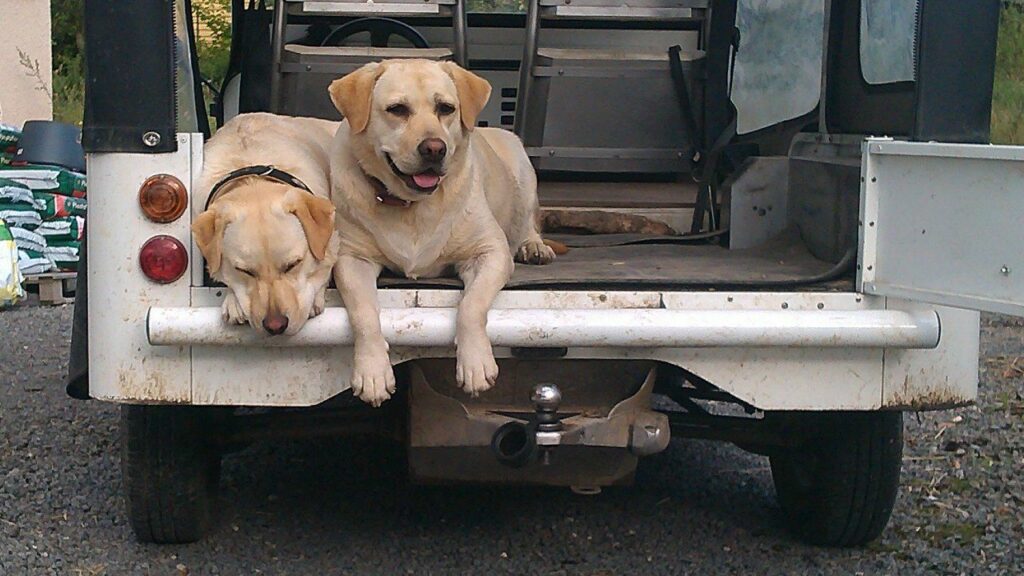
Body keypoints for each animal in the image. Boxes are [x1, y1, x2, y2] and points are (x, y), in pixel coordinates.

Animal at [327, 59, 557, 403]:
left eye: (446, 108)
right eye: (397, 109)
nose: (435, 149)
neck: (412, 205)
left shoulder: (490, 252)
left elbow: (471, 306)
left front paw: (475, 363)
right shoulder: (352, 260)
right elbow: (363, 312)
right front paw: (372, 371)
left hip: (523, 170)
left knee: (528, 221)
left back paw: (534, 246)